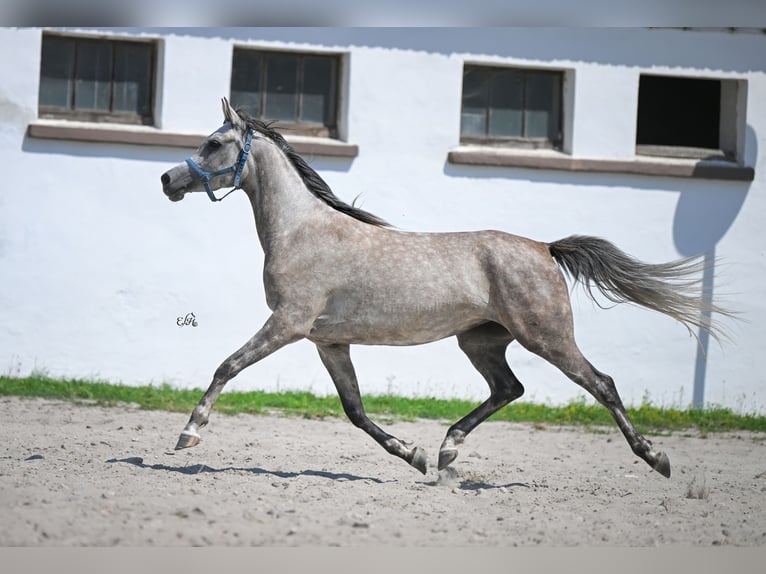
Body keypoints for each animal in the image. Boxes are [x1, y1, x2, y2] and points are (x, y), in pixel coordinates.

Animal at [160, 97, 732, 480]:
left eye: (214, 143)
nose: (167, 180)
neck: (303, 231)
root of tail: (545, 248)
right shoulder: (329, 341)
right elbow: (356, 411)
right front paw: (412, 456)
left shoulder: (288, 323)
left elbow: (227, 366)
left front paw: (188, 435)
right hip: (480, 340)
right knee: (509, 389)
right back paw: (446, 452)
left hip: (547, 338)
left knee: (602, 384)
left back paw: (657, 458)